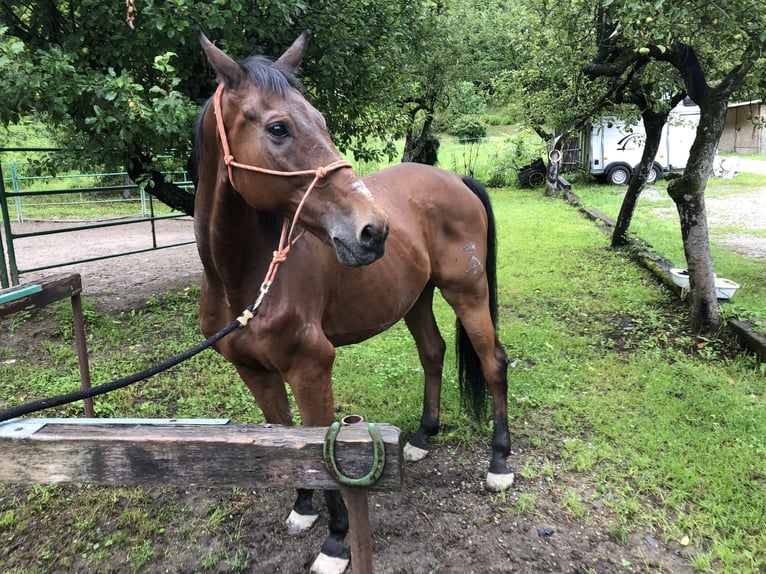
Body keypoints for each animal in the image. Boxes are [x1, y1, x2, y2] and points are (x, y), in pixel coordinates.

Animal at [195, 32, 512, 574]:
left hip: (467, 293)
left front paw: (337, 542)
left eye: (322, 121)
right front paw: (303, 508)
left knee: (493, 362)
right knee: (433, 352)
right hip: (415, 298)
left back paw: (499, 463)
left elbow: (319, 454)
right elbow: (284, 438)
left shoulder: (311, 369)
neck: (247, 280)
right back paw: (423, 437)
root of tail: (456, 179)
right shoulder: (254, 372)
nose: (373, 230)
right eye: (278, 128)